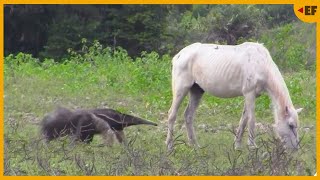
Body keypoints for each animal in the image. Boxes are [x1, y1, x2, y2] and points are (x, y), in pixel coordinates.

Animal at [165, 41, 302, 150]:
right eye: (290, 125)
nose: (296, 148)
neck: (261, 63)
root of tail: (178, 56)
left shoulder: (252, 96)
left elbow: (243, 120)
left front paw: (237, 145)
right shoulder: (249, 94)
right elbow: (251, 120)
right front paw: (252, 146)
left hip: (197, 90)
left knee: (188, 115)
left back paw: (195, 145)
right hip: (181, 88)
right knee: (172, 114)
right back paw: (169, 146)